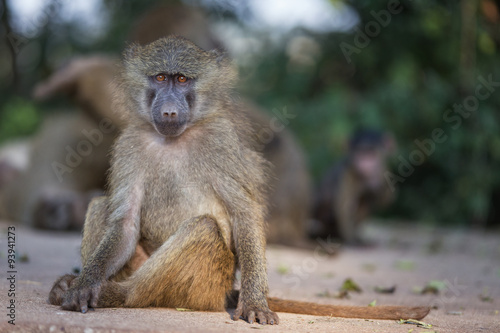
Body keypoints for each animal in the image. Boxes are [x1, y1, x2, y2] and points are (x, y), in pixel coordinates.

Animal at [48, 37, 428, 322]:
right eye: (159, 78)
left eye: (182, 80)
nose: (169, 110)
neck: (175, 139)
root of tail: (225, 290)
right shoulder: (129, 144)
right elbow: (125, 222)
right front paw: (84, 285)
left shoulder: (223, 143)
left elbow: (244, 213)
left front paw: (256, 302)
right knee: (101, 205)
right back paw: (80, 284)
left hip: (208, 282)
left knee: (201, 229)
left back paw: (118, 294)